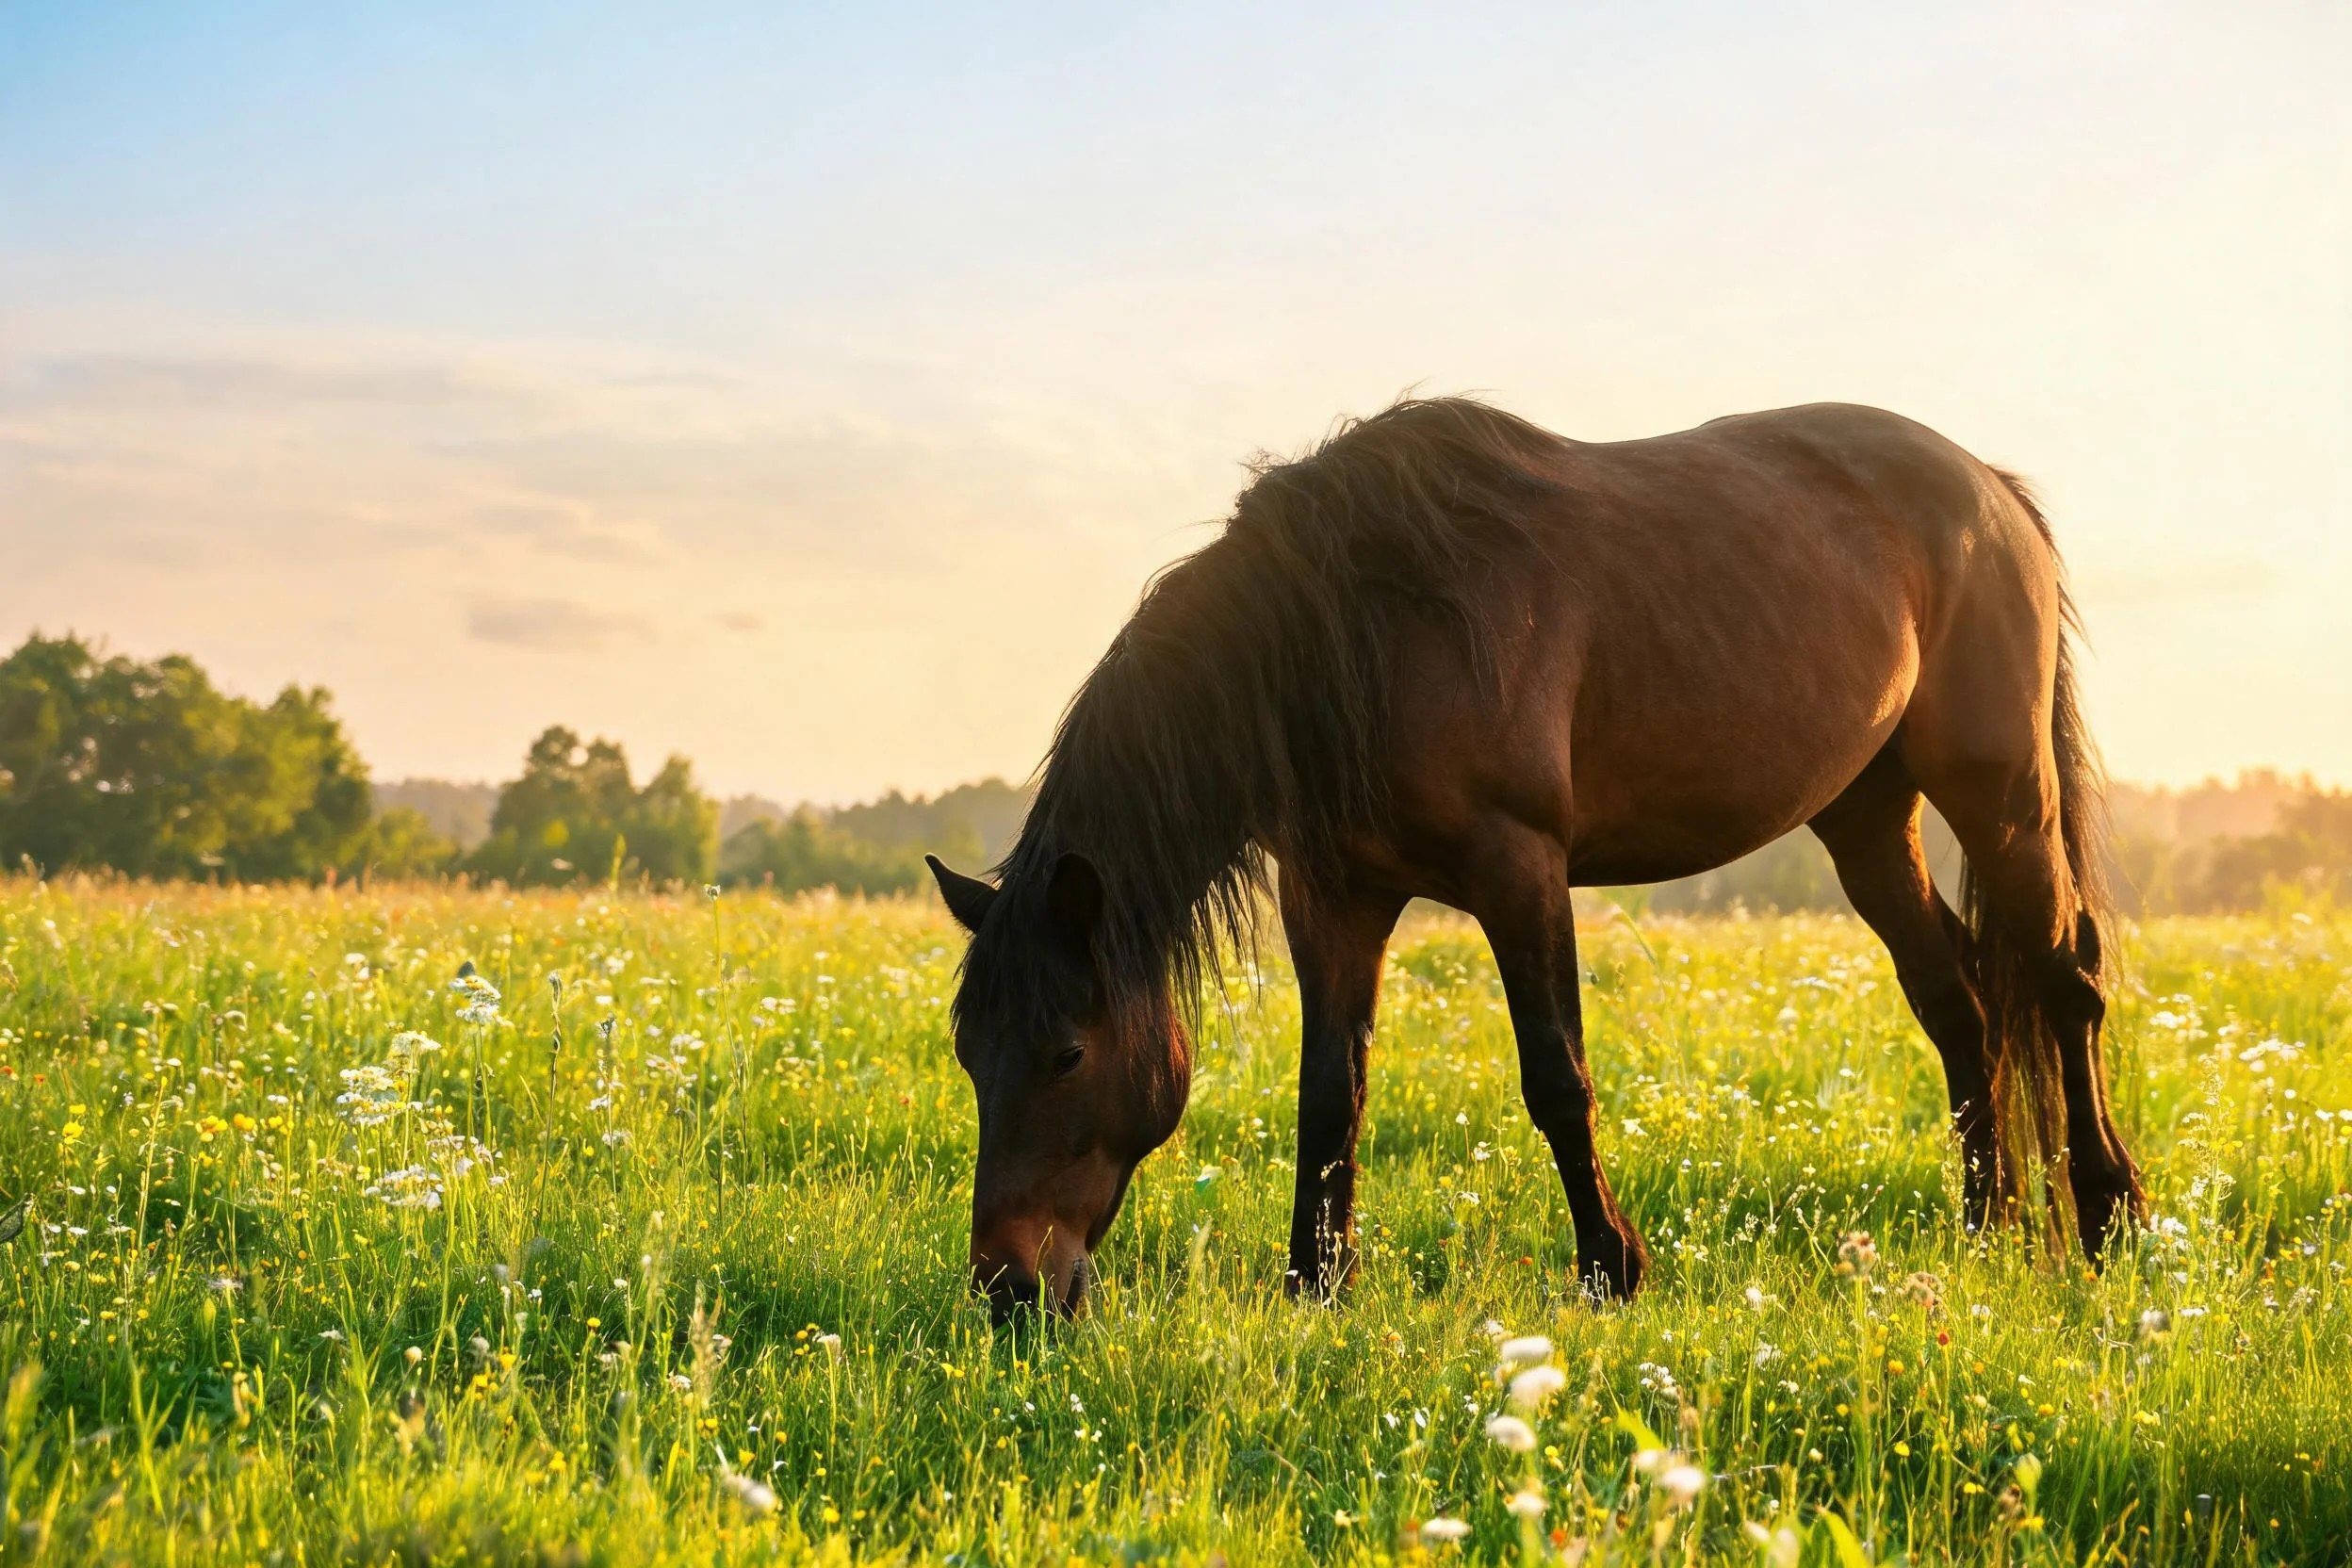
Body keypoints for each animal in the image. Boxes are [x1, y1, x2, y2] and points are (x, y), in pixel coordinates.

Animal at [927, 396, 2144, 1318]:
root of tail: (1990, 486)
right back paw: (1988, 1226)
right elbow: (1331, 1094)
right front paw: (1316, 1282)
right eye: (970, 1052)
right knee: (1959, 1002)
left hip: (2001, 795)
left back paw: (2109, 1213)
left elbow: (1556, 1075)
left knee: (2063, 976)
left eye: (1067, 1052)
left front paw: (1611, 1266)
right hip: (1865, 815)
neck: (1359, 627)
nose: (1007, 1288)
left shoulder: (1520, 868)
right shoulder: (1333, 894)